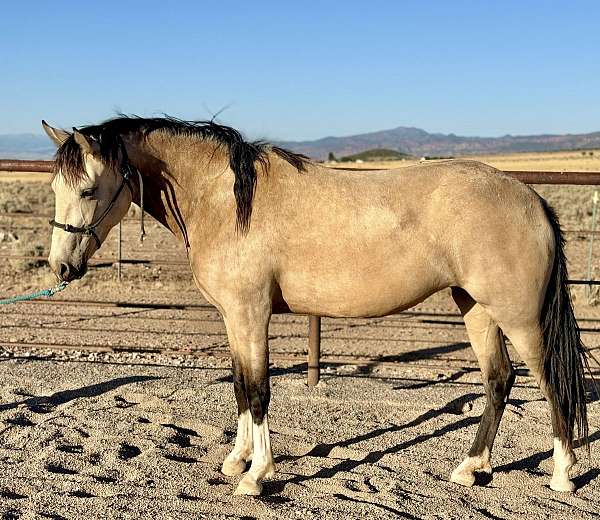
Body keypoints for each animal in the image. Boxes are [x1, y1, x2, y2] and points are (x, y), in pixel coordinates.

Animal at [43, 117, 592, 496]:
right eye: (54, 188)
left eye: (88, 189)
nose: (61, 267)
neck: (226, 200)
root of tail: (531, 199)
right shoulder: (233, 318)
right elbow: (240, 387)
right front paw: (236, 460)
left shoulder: (251, 313)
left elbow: (259, 390)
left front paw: (256, 476)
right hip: (475, 308)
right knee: (499, 380)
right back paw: (470, 468)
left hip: (520, 317)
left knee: (552, 383)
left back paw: (563, 476)